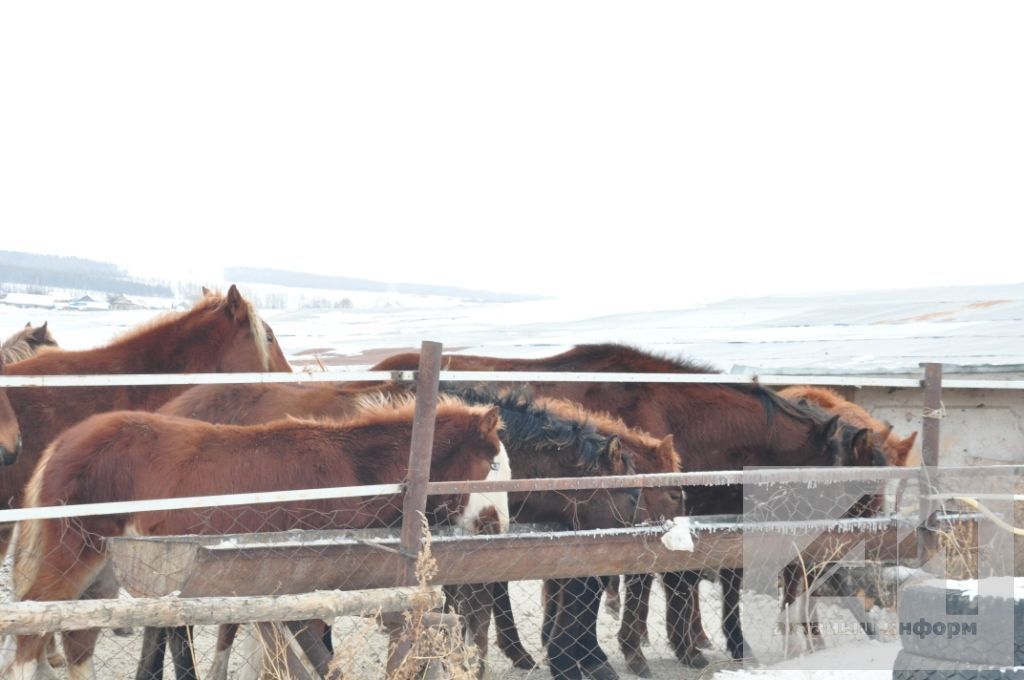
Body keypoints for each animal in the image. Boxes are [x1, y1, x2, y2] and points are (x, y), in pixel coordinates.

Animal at [8, 395, 503, 675]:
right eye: (494, 462)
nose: (496, 525)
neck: (353, 472)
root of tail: (62, 443)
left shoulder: (266, 588)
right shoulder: (306, 594)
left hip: (104, 575)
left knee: (77, 642)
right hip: (71, 560)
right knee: (32, 634)